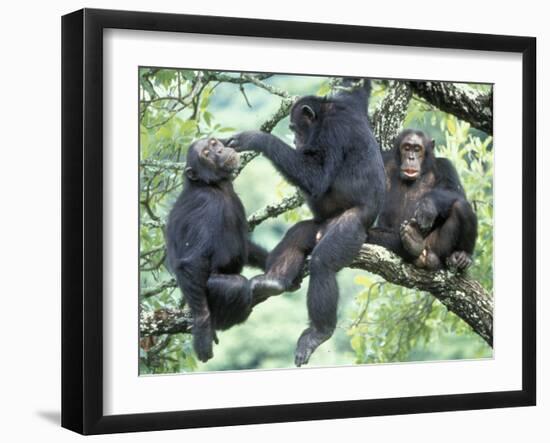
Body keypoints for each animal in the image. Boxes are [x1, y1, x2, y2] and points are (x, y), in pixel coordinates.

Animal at [166, 139, 270, 364]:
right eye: (206, 153)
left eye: (214, 143)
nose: (220, 150)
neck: (215, 186)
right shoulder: (206, 206)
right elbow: (192, 261)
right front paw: (202, 332)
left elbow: (247, 246)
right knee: (236, 287)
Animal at [226, 80, 386, 368]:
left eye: (292, 127)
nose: (293, 139)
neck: (325, 116)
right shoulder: (350, 99)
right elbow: (357, 85)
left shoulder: (333, 134)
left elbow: (317, 178)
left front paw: (255, 139)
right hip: (315, 226)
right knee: (296, 236)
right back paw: (274, 281)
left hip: (350, 227)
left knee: (323, 262)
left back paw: (318, 333)